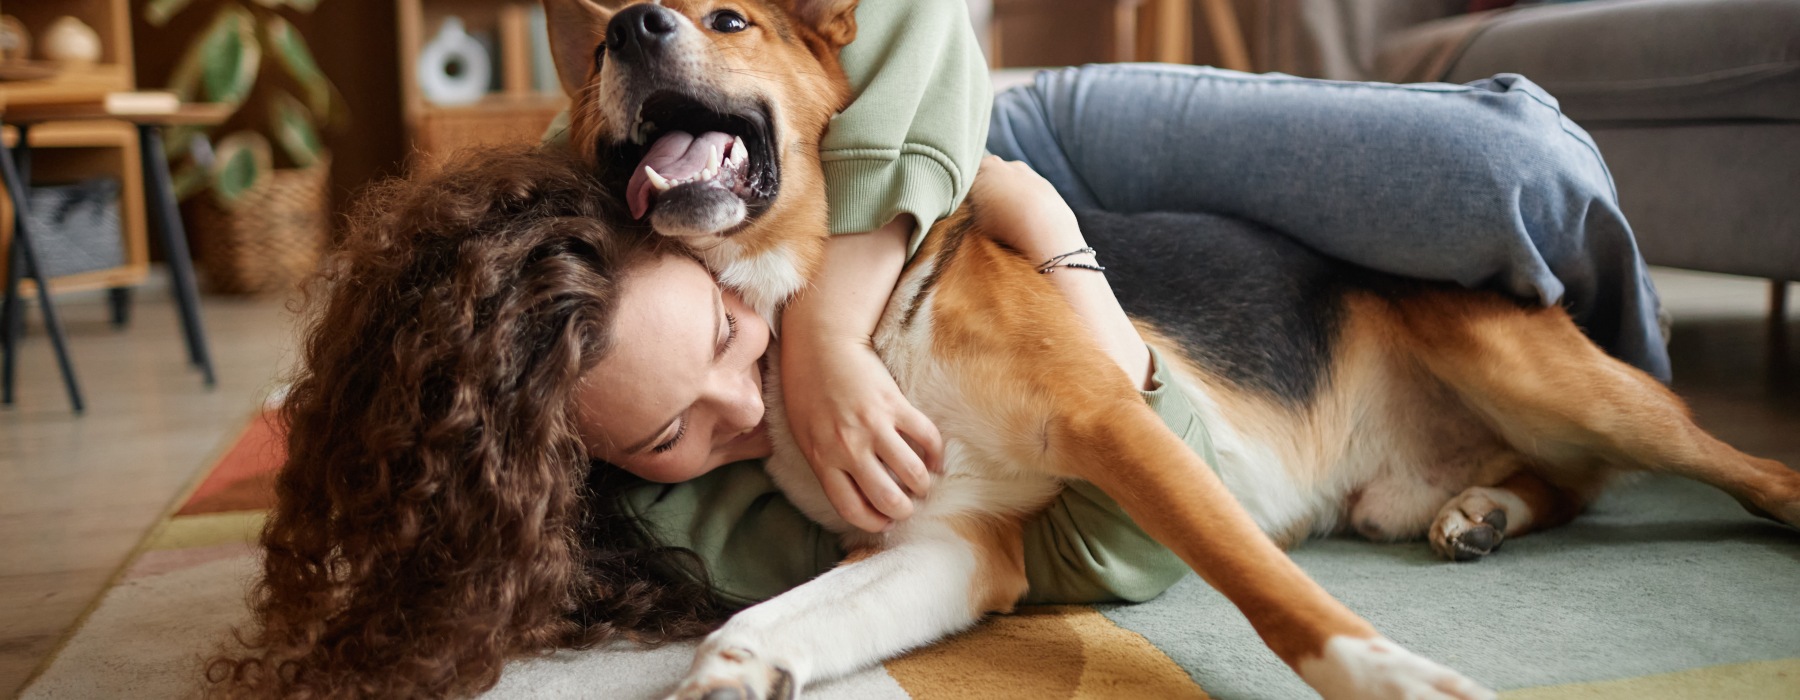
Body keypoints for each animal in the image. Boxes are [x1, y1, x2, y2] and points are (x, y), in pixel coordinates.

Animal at [543, 1, 1800, 698]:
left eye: (729, 21)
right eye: (602, 52)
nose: (627, 27)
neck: (837, 314)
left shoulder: (1115, 423)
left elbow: (1280, 599)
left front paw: (1395, 679)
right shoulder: (950, 542)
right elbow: (766, 619)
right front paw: (730, 671)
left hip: (1550, 379)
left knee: (1739, 468)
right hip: (1415, 482)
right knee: (1561, 488)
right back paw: (1482, 512)